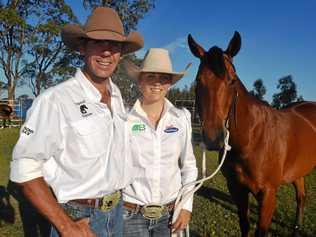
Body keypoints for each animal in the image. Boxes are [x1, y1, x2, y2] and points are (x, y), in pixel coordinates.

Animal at [188, 32, 316, 237]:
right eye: (198, 81)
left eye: (232, 81)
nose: (214, 138)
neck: (252, 139)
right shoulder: (237, 189)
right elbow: (244, 225)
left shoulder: (268, 195)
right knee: (301, 197)